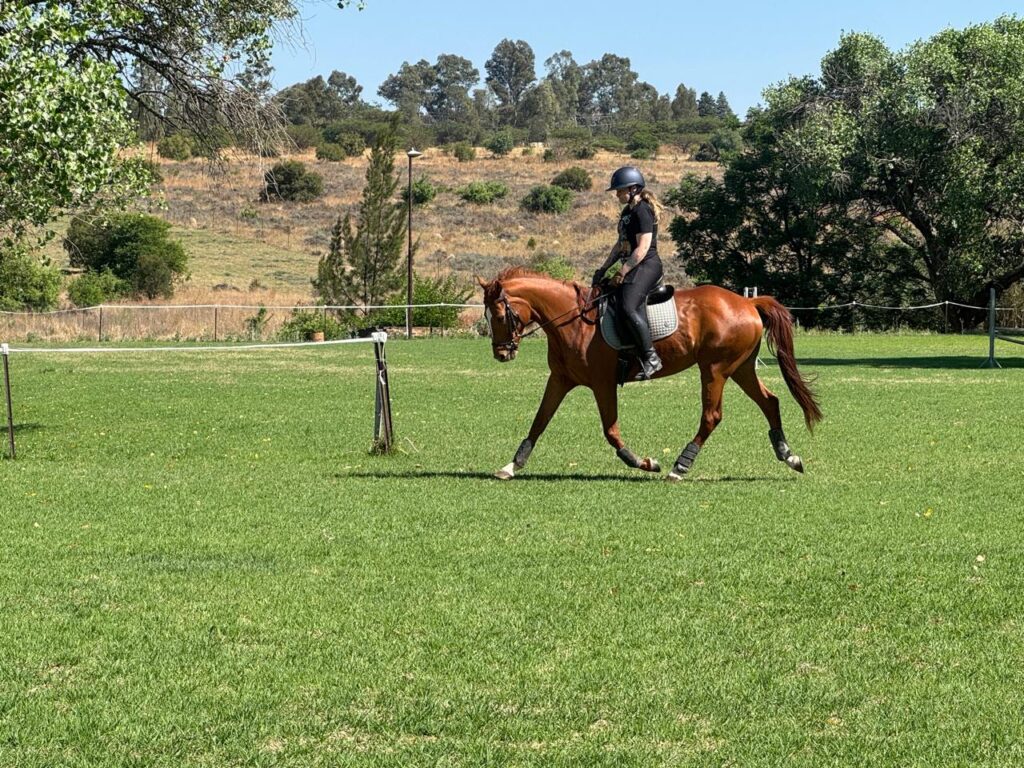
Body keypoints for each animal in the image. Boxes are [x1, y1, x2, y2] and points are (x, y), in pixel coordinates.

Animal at [478, 268, 822, 481]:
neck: (573, 321)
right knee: (770, 402)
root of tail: (747, 302)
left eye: (499, 316)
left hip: (715, 369)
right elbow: (539, 421)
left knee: (712, 416)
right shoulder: (560, 380)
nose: (501, 354)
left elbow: (611, 431)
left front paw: (644, 462)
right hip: (740, 368)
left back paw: (680, 466)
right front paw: (512, 465)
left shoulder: (602, 383)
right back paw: (789, 456)